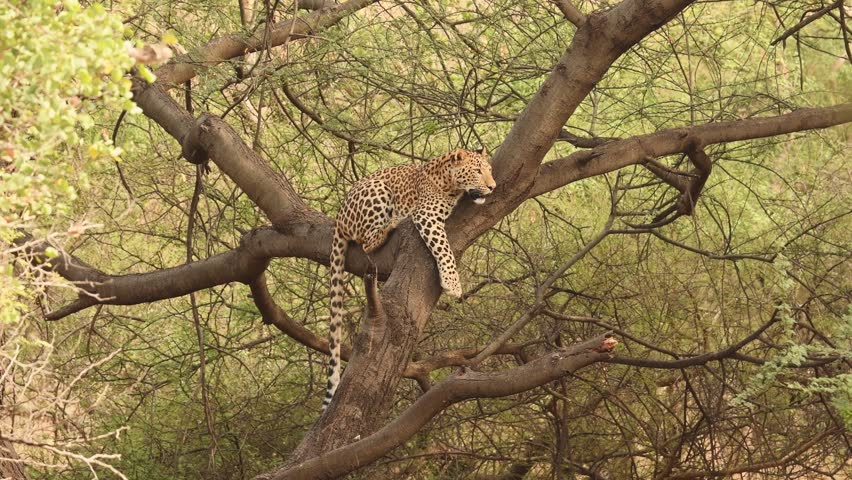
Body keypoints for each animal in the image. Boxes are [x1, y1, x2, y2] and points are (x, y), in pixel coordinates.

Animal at [323, 148, 497, 409]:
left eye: (490, 170)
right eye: (477, 171)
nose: (493, 186)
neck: (449, 181)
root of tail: (339, 217)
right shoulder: (426, 215)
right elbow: (443, 249)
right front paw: (452, 284)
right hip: (378, 191)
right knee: (366, 240)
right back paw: (392, 222)